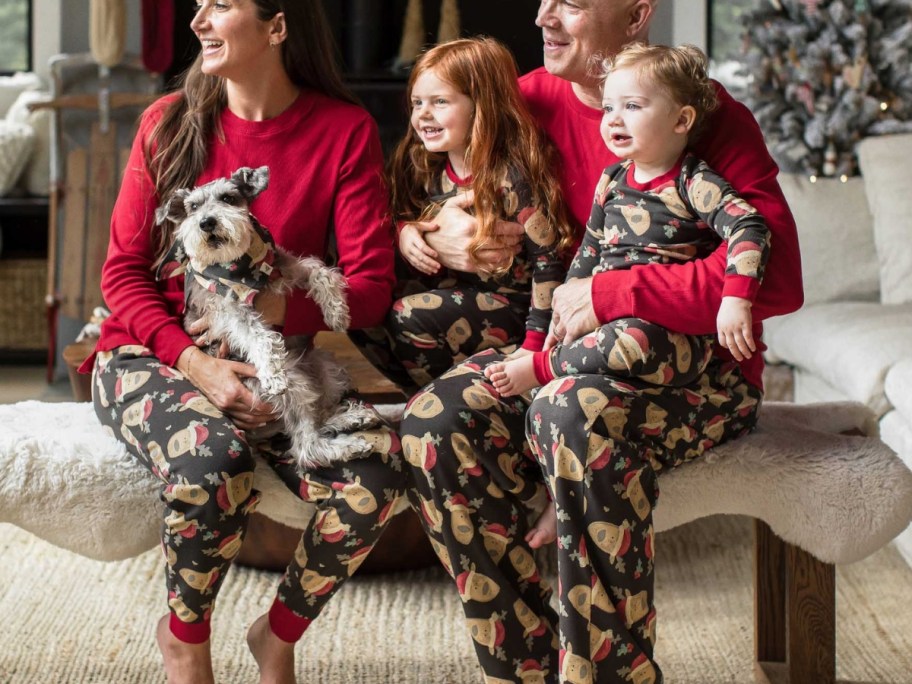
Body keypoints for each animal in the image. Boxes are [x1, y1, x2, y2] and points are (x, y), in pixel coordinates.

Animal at [153, 166, 378, 470]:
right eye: (193, 207)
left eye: (228, 198)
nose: (207, 223)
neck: (241, 266)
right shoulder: (231, 310)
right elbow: (260, 336)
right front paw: (272, 373)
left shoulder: (291, 268)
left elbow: (321, 272)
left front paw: (338, 313)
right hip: (294, 384)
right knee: (306, 446)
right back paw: (349, 444)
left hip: (323, 364)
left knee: (319, 416)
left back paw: (352, 417)